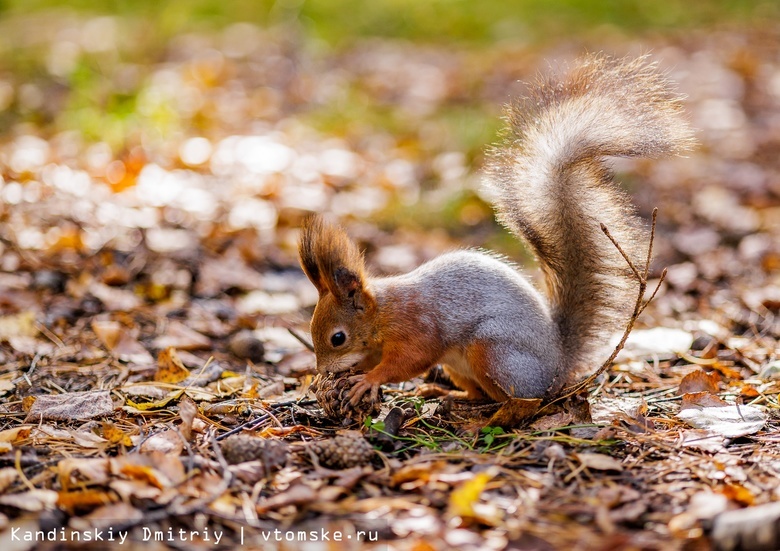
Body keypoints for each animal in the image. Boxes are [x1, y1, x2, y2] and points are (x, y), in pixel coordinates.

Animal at [298, 56, 696, 408]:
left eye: (337, 338)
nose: (322, 371)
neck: (383, 313)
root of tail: (557, 365)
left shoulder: (417, 328)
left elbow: (410, 360)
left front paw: (369, 380)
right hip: (462, 367)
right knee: (477, 393)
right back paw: (445, 393)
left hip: (492, 352)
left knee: (519, 399)